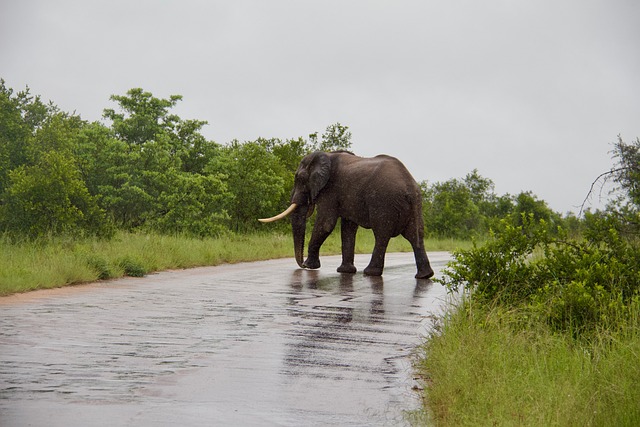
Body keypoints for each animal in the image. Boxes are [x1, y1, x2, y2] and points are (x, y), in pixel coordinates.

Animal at [259, 151, 435, 279]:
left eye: (299, 178)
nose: (301, 265)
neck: (325, 155)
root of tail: (409, 185)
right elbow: (348, 228)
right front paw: (344, 271)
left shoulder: (330, 190)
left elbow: (326, 223)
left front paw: (310, 266)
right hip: (416, 205)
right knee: (416, 236)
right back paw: (424, 276)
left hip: (383, 202)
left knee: (381, 235)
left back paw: (370, 273)